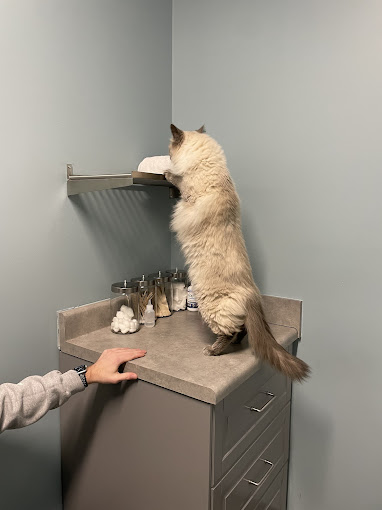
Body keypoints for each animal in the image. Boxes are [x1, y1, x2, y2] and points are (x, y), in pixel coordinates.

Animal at [165, 123, 310, 380]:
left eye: (170, 151)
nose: (167, 155)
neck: (211, 165)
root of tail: (252, 294)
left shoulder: (187, 191)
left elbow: (177, 179)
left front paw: (165, 172)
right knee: (241, 330)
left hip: (211, 307)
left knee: (229, 332)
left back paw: (213, 350)